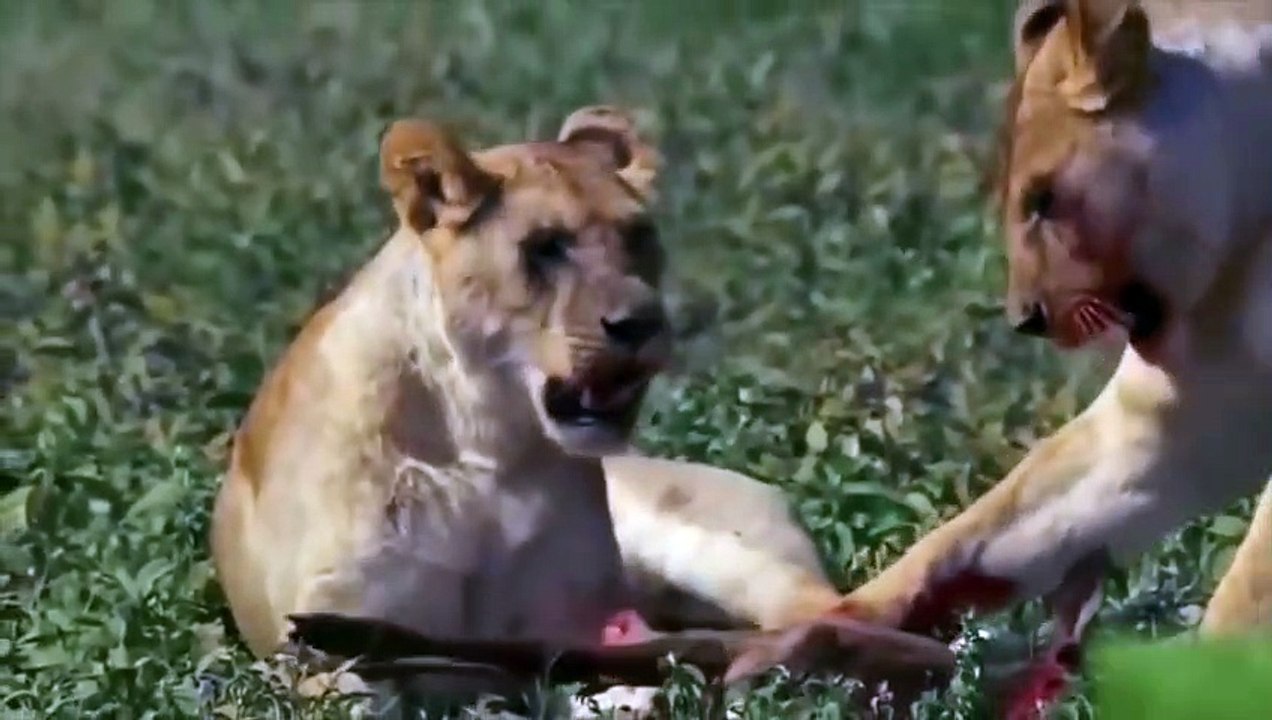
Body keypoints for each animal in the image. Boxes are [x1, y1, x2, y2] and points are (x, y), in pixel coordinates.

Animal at [210, 105, 843, 712]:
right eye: (545, 246)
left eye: (638, 235)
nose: (642, 323)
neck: (485, 441)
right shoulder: (329, 649)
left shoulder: (574, 631)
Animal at [725, 1, 1272, 715]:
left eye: (1044, 199)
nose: (1025, 319)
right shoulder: (1176, 418)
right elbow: (975, 539)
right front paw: (808, 653)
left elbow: (1244, 595)